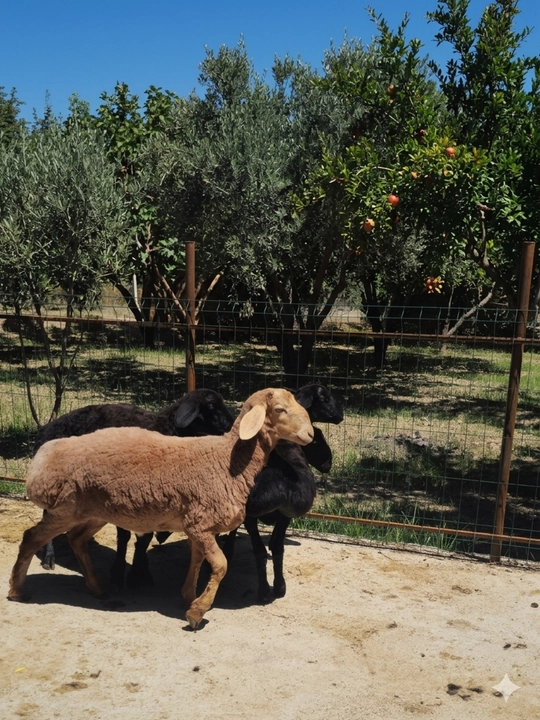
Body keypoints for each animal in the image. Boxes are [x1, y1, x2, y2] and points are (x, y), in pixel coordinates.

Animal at [33, 389, 234, 578]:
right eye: (210, 407)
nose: (231, 426)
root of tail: (45, 429)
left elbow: (145, 538)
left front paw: (140, 572)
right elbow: (125, 536)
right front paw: (120, 572)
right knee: (48, 518)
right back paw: (49, 558)